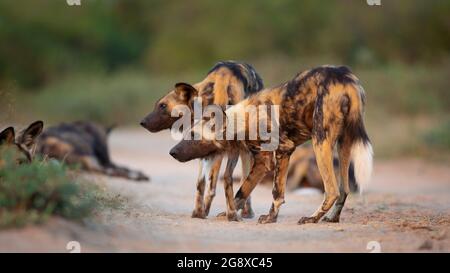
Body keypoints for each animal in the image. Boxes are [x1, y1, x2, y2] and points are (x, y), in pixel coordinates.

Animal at [171, 65, 374, 223]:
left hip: (320, 143)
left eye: (194, 135)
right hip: (344, 145)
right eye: (187, 133)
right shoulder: (273, 157)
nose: (172, 152)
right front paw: (235, 213)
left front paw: (268, 218)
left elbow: (263, 191)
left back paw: (312, 218)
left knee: (332, 190)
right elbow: (246, 192)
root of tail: (345, 77)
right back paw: (332, 218)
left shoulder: (276, 154)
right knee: (344, 189)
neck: (242, 119)